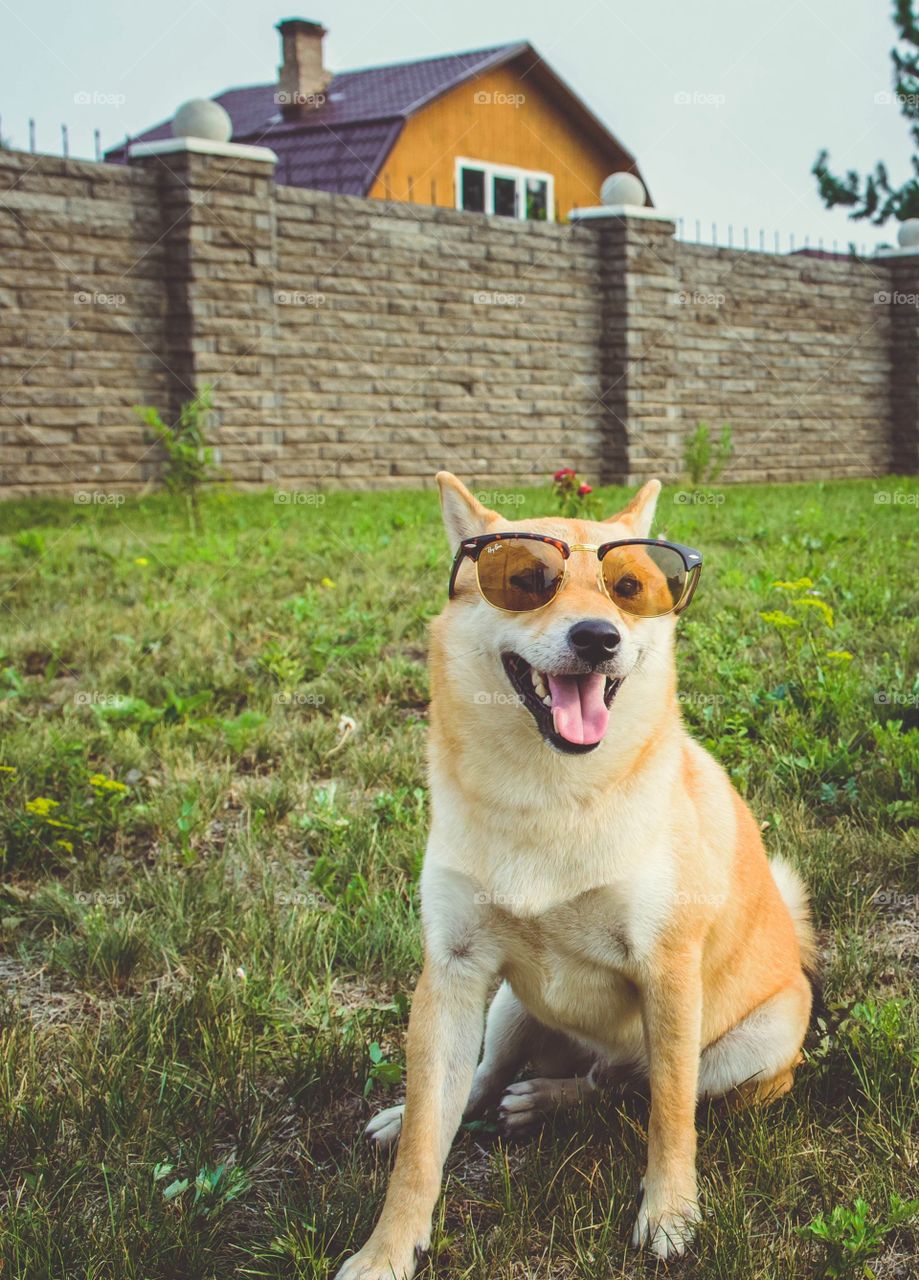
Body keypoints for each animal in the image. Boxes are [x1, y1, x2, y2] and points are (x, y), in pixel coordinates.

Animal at [335, 476, 819, 1274]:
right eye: (525, 580)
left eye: (630, 588)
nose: (598, 637)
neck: (549, 795)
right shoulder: (453, 971)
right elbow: (425, 1144)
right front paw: (387, 1247)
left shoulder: (667, 969)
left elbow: (670, 1118)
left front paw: (670, 1212)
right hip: (506, 1006)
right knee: (486, 1079)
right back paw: (465, 1103)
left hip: (755, 1047)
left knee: (631, 1088)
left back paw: (556, 1098)